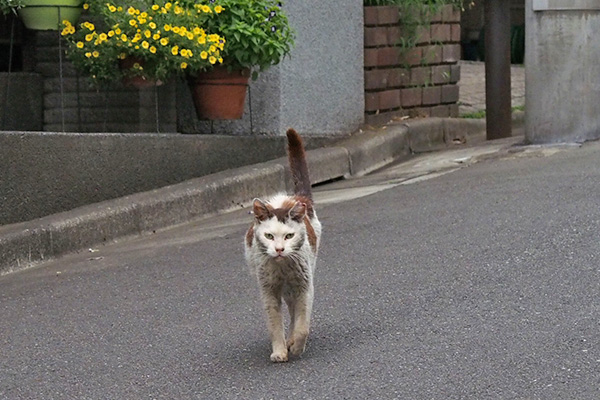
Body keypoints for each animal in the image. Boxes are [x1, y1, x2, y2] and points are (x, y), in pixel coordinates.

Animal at [244, 128, 322, 362]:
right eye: (269, 236)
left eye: (288, 236)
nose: (279, 249)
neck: (282, 268)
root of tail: (295, 197)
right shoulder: (268, 292)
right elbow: (274, 325)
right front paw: (279, 351)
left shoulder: (305, 286)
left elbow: (303, 325)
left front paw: (296, 346)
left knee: (295, 311)